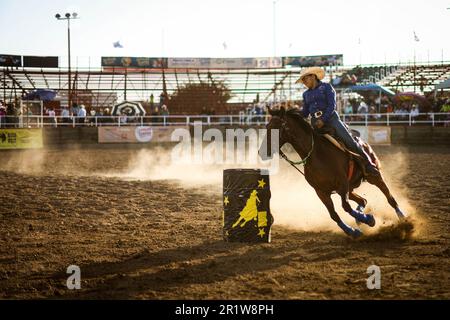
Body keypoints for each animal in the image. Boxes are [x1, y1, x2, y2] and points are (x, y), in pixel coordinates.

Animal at [256, 108, 408, 238]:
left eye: (276, 128)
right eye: (267, 127)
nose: (261, 152)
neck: (316, 154)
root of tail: (361, 141)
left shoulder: (342, 184)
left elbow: (346, 207)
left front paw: (369, 219)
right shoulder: (321, 191)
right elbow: (334, 214)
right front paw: (352, 231)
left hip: (372, 176)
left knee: (389, 196)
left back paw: (402, 217)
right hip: (349, 188)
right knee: (363, 200)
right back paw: (360, 217)